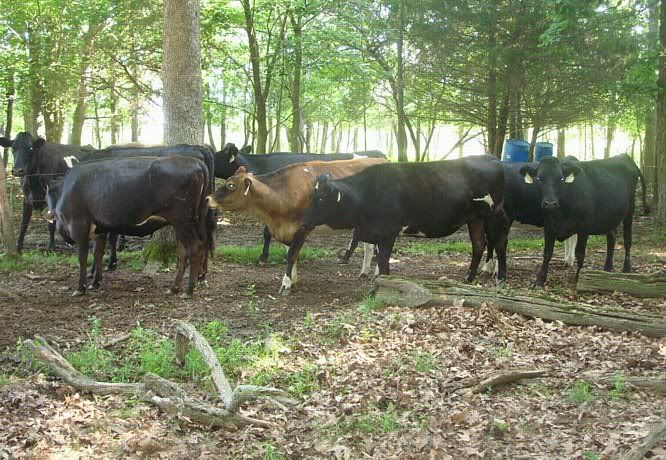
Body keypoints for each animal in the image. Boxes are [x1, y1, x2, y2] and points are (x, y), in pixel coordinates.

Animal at [45, 156, 210, 297]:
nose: (49, 214)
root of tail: (194, 161)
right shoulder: (100, 228)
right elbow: (97, 254)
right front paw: (96, 282)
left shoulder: (79, 226)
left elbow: (82, 257)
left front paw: (81, 288)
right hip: (183, 222)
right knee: (183, 252)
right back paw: (174, 287)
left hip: (182, 220)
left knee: (194, 248)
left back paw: (188, 290)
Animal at [205, 157, 387, 295]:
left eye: (231, 185)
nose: (208, 198)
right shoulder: (287, 228)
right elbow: (289, 253)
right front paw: (293, 280)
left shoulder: (303, 227)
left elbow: (292, 254)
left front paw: (286, 284)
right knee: (369, 246)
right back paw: (364, 272)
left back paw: (378, 274)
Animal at [302, 155, 509, 286]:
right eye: (311, 196)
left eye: (320, 198)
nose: (303, 221)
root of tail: (489, 158)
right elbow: (381, 262)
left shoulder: (387, 233)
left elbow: (384, 264)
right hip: (475, 218)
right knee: (479, 244)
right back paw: (468, 278)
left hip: (494, 215)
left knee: (499, 242)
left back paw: (500, 278)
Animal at [518, 154, 648, 287]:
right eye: (539, 178)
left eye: (561, 178)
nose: (550, 203)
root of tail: (625, 156)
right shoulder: (549, 226)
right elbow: (547, 253)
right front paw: (540, 280)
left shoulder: (584, 227)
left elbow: (580, 253)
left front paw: (578, 278)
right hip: (610, 216)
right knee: (611, 237)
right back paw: (607, 267)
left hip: (630, 210)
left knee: (627, 240)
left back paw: (627, 268)